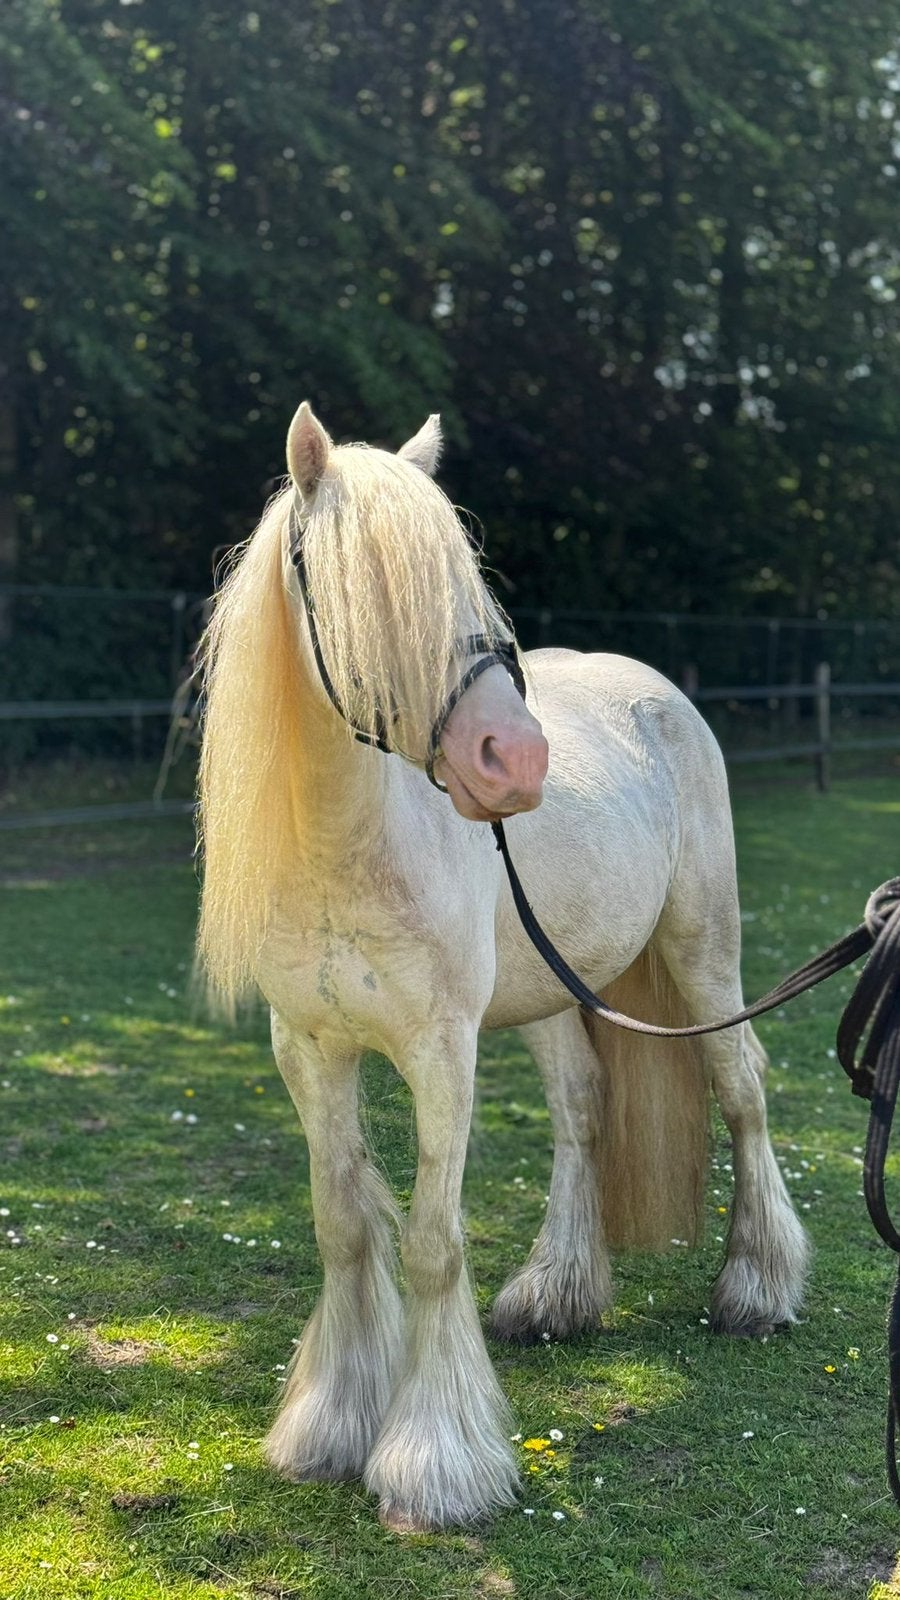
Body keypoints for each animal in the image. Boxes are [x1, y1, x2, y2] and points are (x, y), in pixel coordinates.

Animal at [196, 402, 810, 1532]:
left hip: (703, 952)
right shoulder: (310, 1050)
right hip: (555, 998)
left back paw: (756, 1290)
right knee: (583, 1110)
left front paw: (434, 1466)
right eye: (362, 590)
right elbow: (342, 1226)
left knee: (741, 1090)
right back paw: (555, 1297)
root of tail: (657, 693)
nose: (514, 761)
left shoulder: (441, 1054)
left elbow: (433, 1242)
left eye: (468, 585)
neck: (349, 850)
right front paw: (328, 1429)